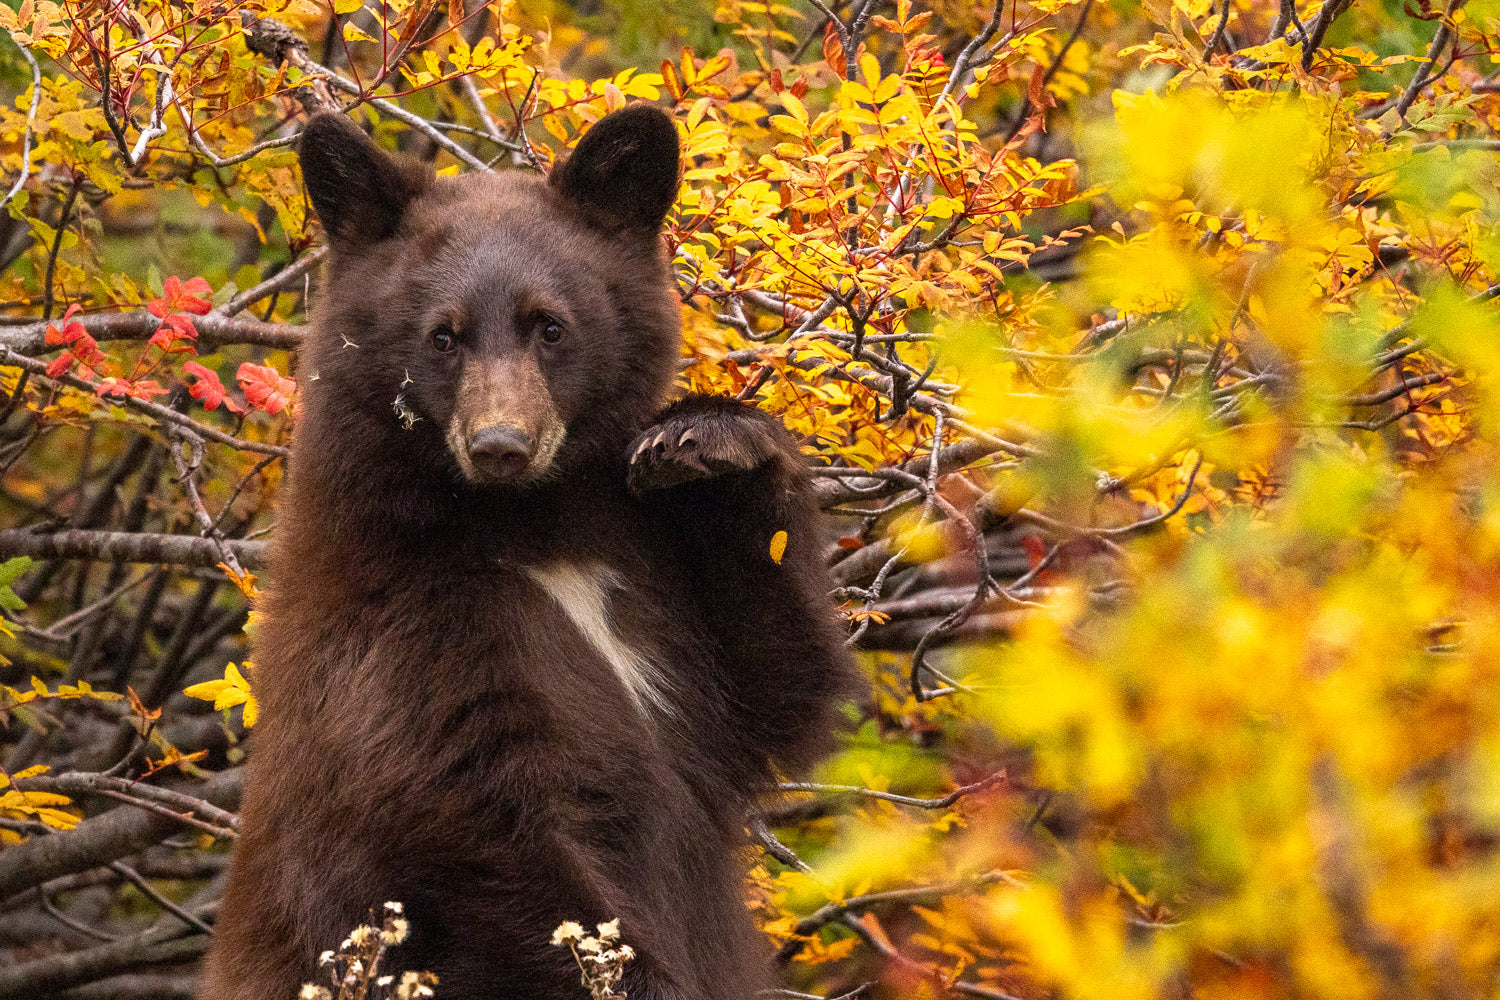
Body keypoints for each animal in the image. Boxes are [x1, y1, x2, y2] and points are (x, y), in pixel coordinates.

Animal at [199, 104, 855, 1000]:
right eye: (443, 337)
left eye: (550, 326)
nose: (501, 444)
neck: (537, 527)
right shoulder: (404, 634)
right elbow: (485, 841)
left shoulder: (659, 603)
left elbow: (781, 685)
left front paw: (709, 438)